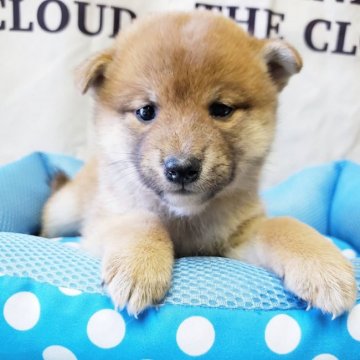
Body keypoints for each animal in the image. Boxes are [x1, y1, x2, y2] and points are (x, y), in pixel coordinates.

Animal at [40, 10, 356, 316]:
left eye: (222, 109)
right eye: (145, 111)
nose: (181, 168)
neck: (185, 220)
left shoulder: (239, 239)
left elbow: (282, 225)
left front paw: (322, 265)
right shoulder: (108, 219)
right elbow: (141, 222)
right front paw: (138, 264)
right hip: (62, 213)